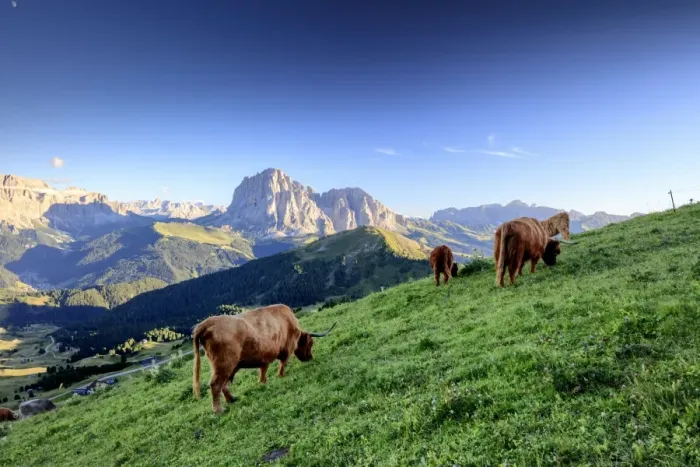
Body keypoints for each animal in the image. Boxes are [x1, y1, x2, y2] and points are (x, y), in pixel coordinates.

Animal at [192, 304, 336, 415]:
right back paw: (219, 410)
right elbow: (283, 363)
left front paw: (263, 382)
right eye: (311, 343)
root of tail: (207, 322)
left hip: (227, 365)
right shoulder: (287, 348)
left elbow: (263, 370)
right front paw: (280, 376)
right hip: (224, 363)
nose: (310, 358)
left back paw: (232, 399)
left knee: (224, 384)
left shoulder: (264, 356)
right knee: (216, 385)